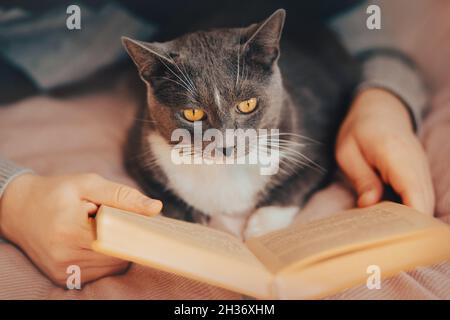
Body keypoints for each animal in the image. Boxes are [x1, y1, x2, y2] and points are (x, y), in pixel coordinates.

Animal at [121, 8, 360, 239]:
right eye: (192, 113)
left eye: (247, 104)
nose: (227, 147)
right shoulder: (140, 150)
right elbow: (165, 197)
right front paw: (195, 224)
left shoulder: (318, 144)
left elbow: (298, 184)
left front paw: (262, 226)